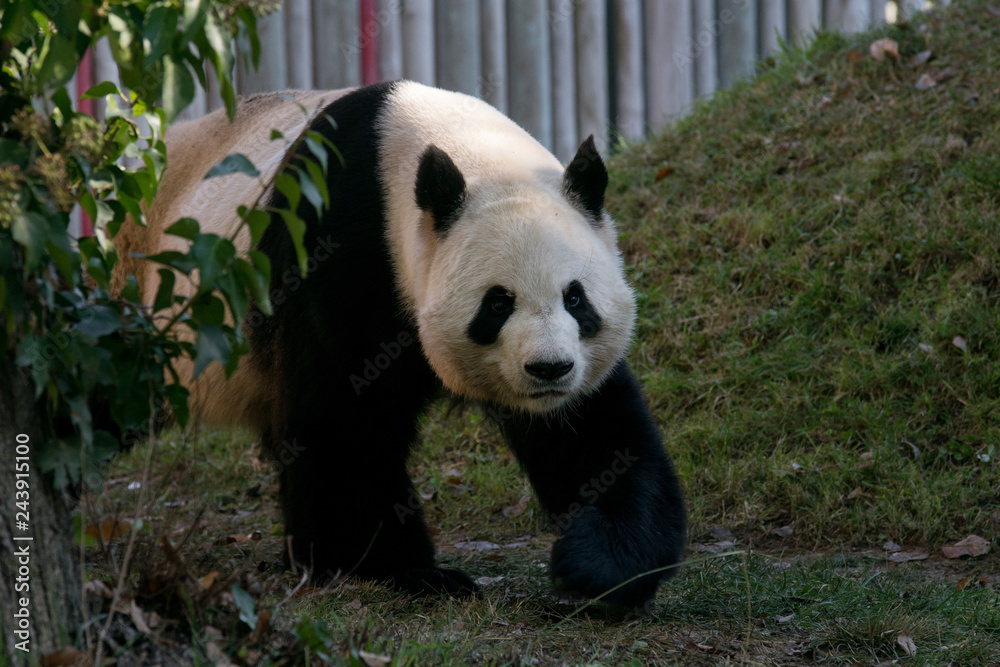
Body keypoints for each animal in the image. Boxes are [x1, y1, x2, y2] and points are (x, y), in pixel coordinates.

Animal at [115, 81, 686, 607]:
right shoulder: (339, 249)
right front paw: (399, 569)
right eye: (498, 303)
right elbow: (342, 424)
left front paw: (597, 563)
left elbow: (596, 434)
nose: (548, 369)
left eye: (575, 298)